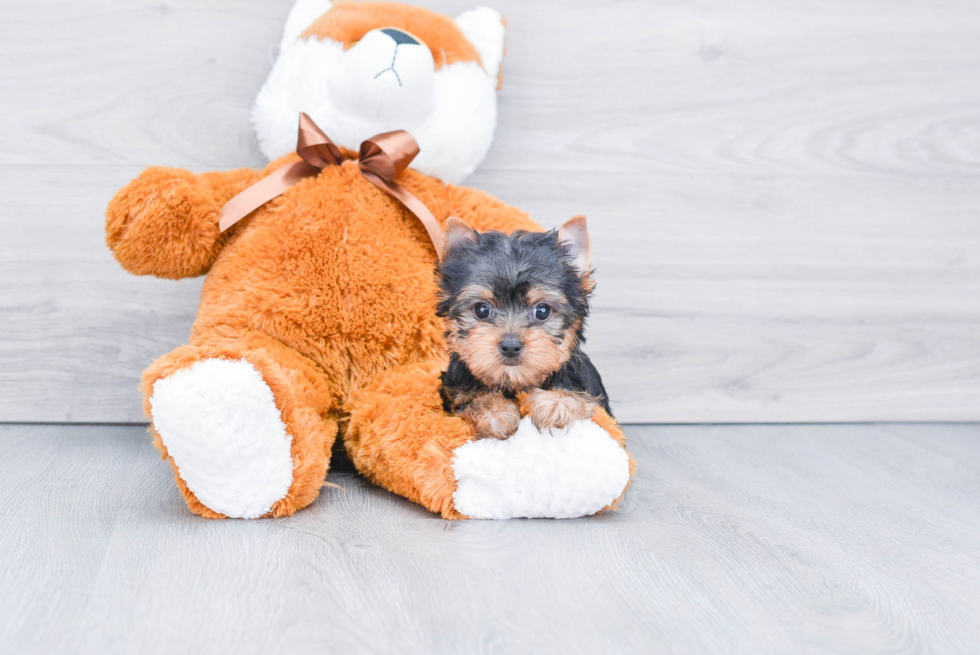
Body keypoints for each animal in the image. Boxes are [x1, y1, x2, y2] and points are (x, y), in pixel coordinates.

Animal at [438, 217, 612, 440]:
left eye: (542, 311)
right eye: (482, 310)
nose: (510, 346)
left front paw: (556, 403)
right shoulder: (454, 386)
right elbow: (470, 397)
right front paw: (495, 411)